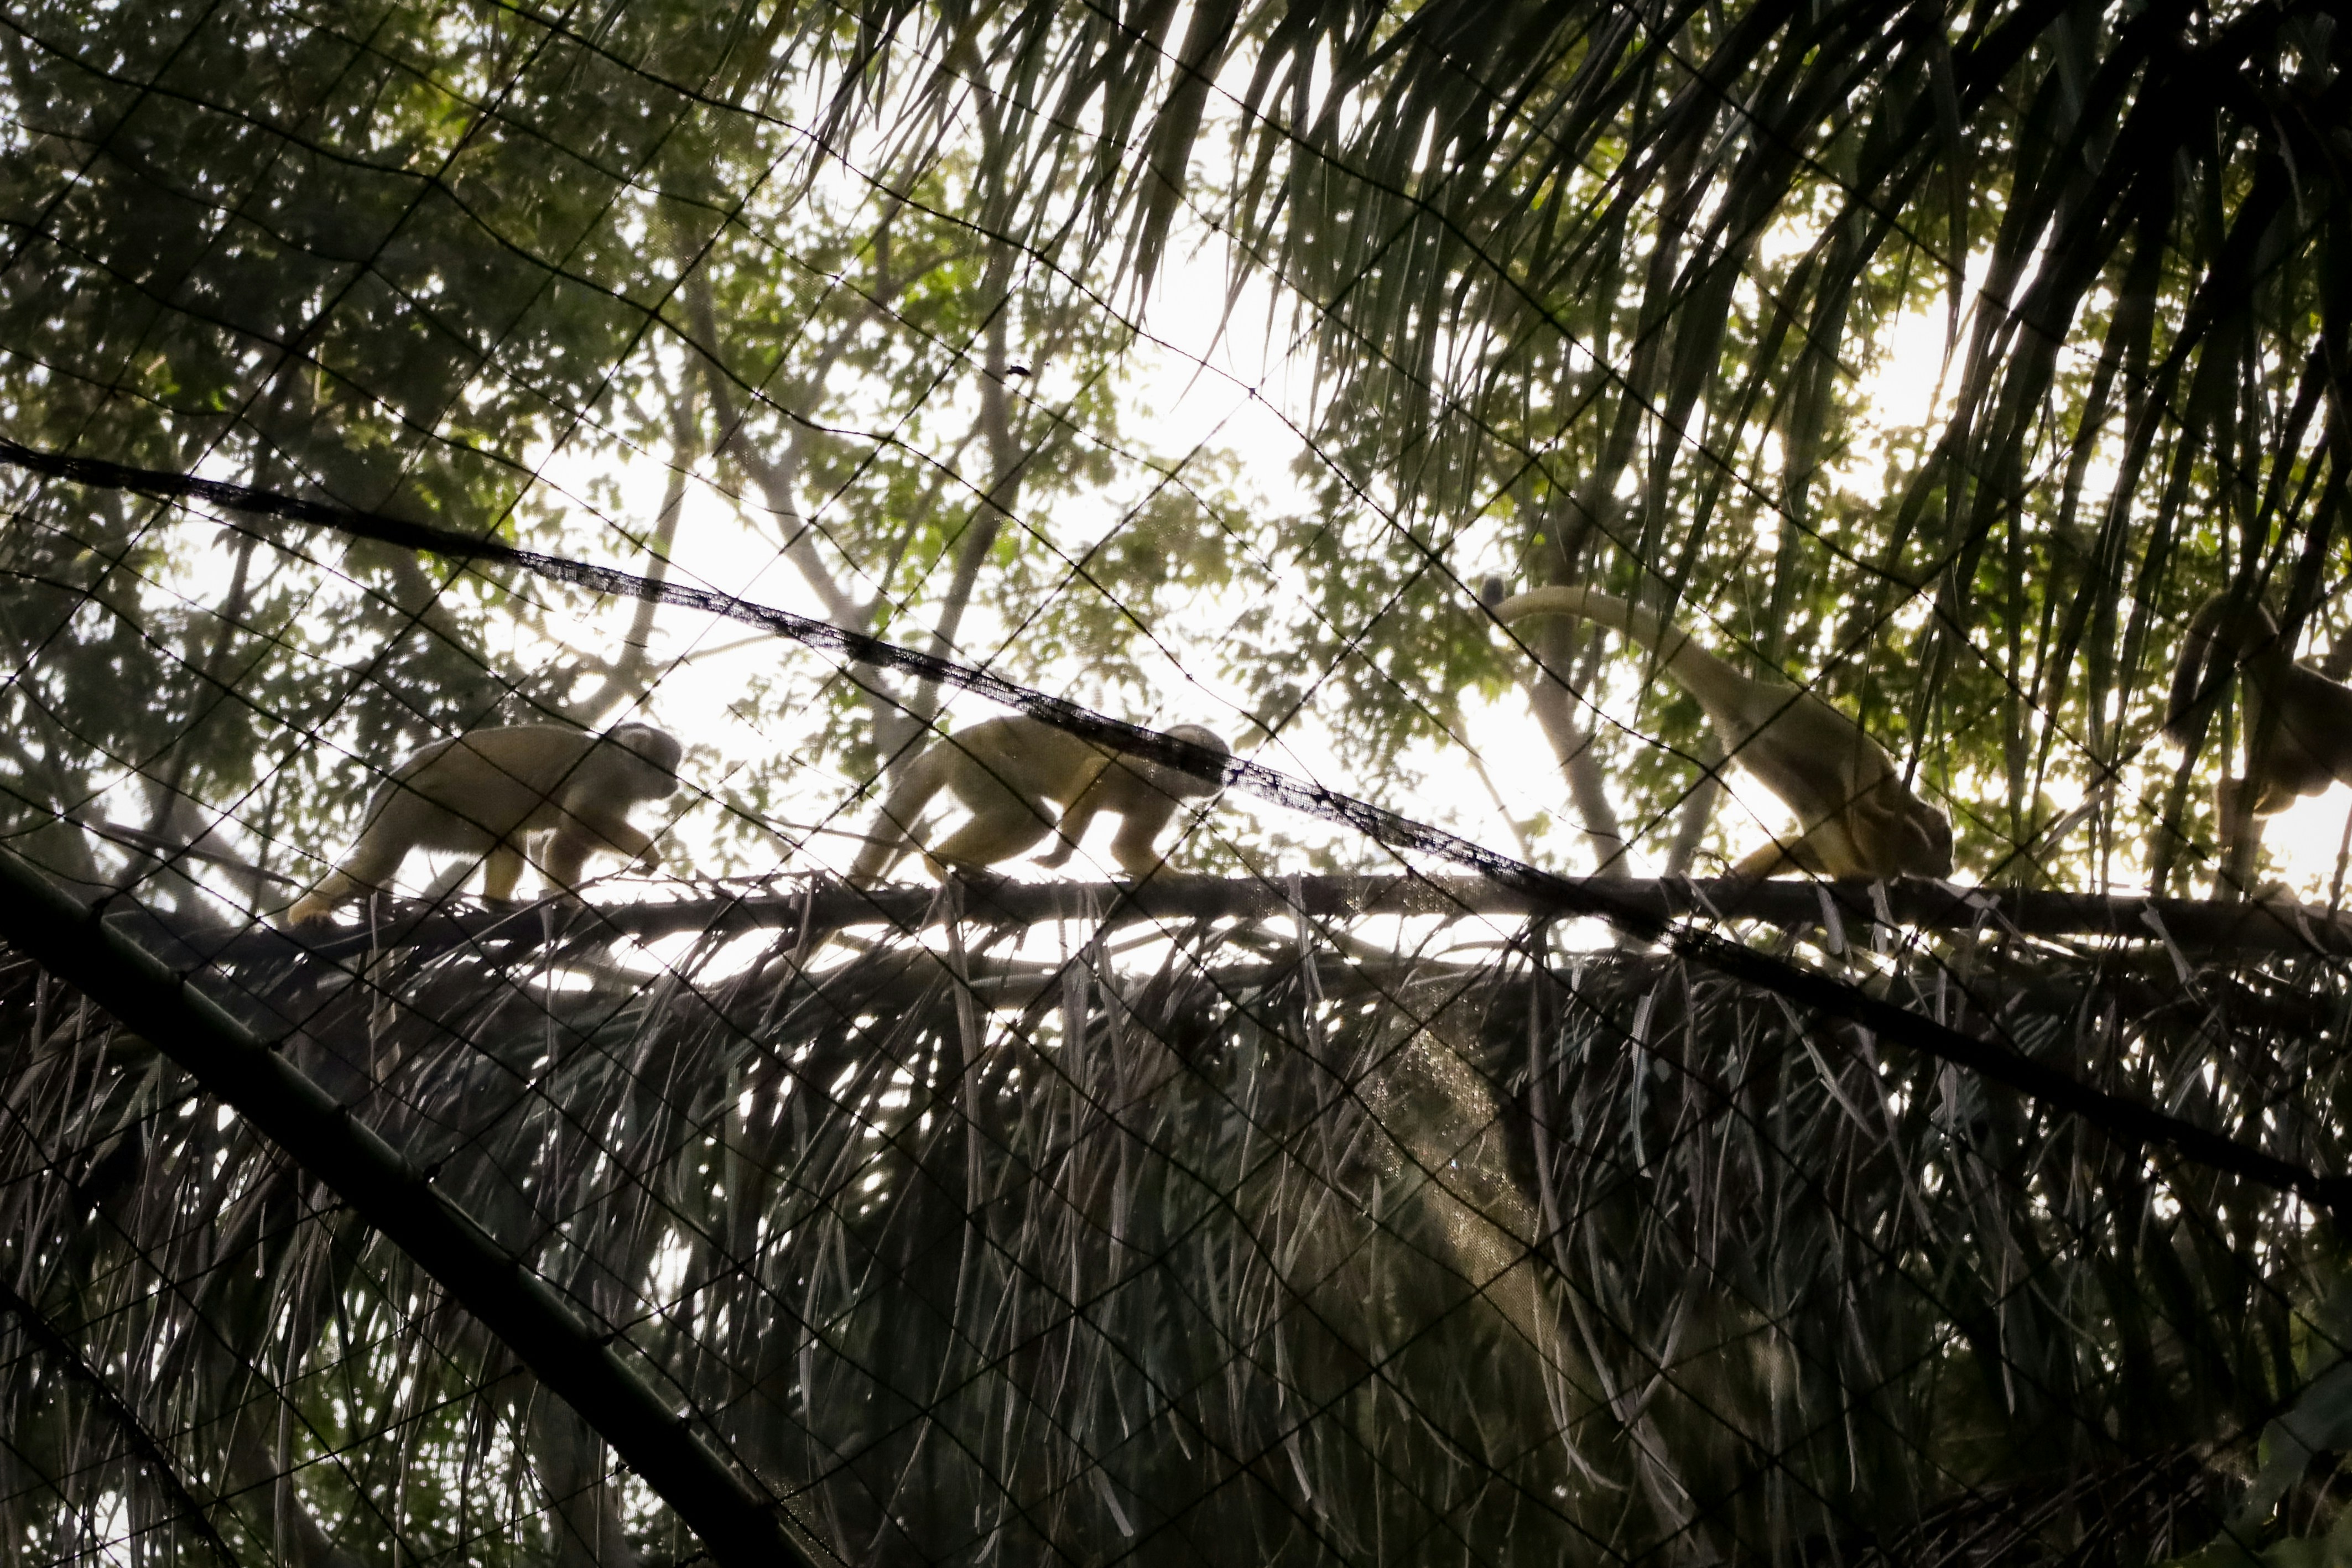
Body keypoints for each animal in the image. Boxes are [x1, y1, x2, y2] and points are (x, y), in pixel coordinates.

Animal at [287, 723, 682, 929]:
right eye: (668, 766)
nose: (675, 783)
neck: (624, 770)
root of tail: (389, 783)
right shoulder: (603, 775)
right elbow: (578, 817)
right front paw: (649, 855)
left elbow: (567, 842)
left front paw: (567, 902)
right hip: (407, 803)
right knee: (380, 859)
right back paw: (304, 914)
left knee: (505, 839)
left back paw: (495, 906)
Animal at [848, 714, 1230, 885]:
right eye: (1211, 765)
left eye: (1223, 767)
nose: (1221, 779)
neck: (1163, 777)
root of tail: (952, 742)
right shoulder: (1136, 765)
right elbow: (1092, 774)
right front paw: (1059, 857)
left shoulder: (1166, 799)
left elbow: (1127, 847)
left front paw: (1178, 878)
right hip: (978, 758)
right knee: (1012, 812)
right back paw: (935, 861)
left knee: (1033, 818)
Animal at [1484, 583, 1952, 881]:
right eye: (1947, 845)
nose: (1949, 867)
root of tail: (1752, 689)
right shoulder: (1872, 762)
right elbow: (1863, 804)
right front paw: (1884, 856)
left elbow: (1804, 844)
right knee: (1821, 801)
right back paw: (1854, 873)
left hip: (1748, 744)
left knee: (1808, 801)